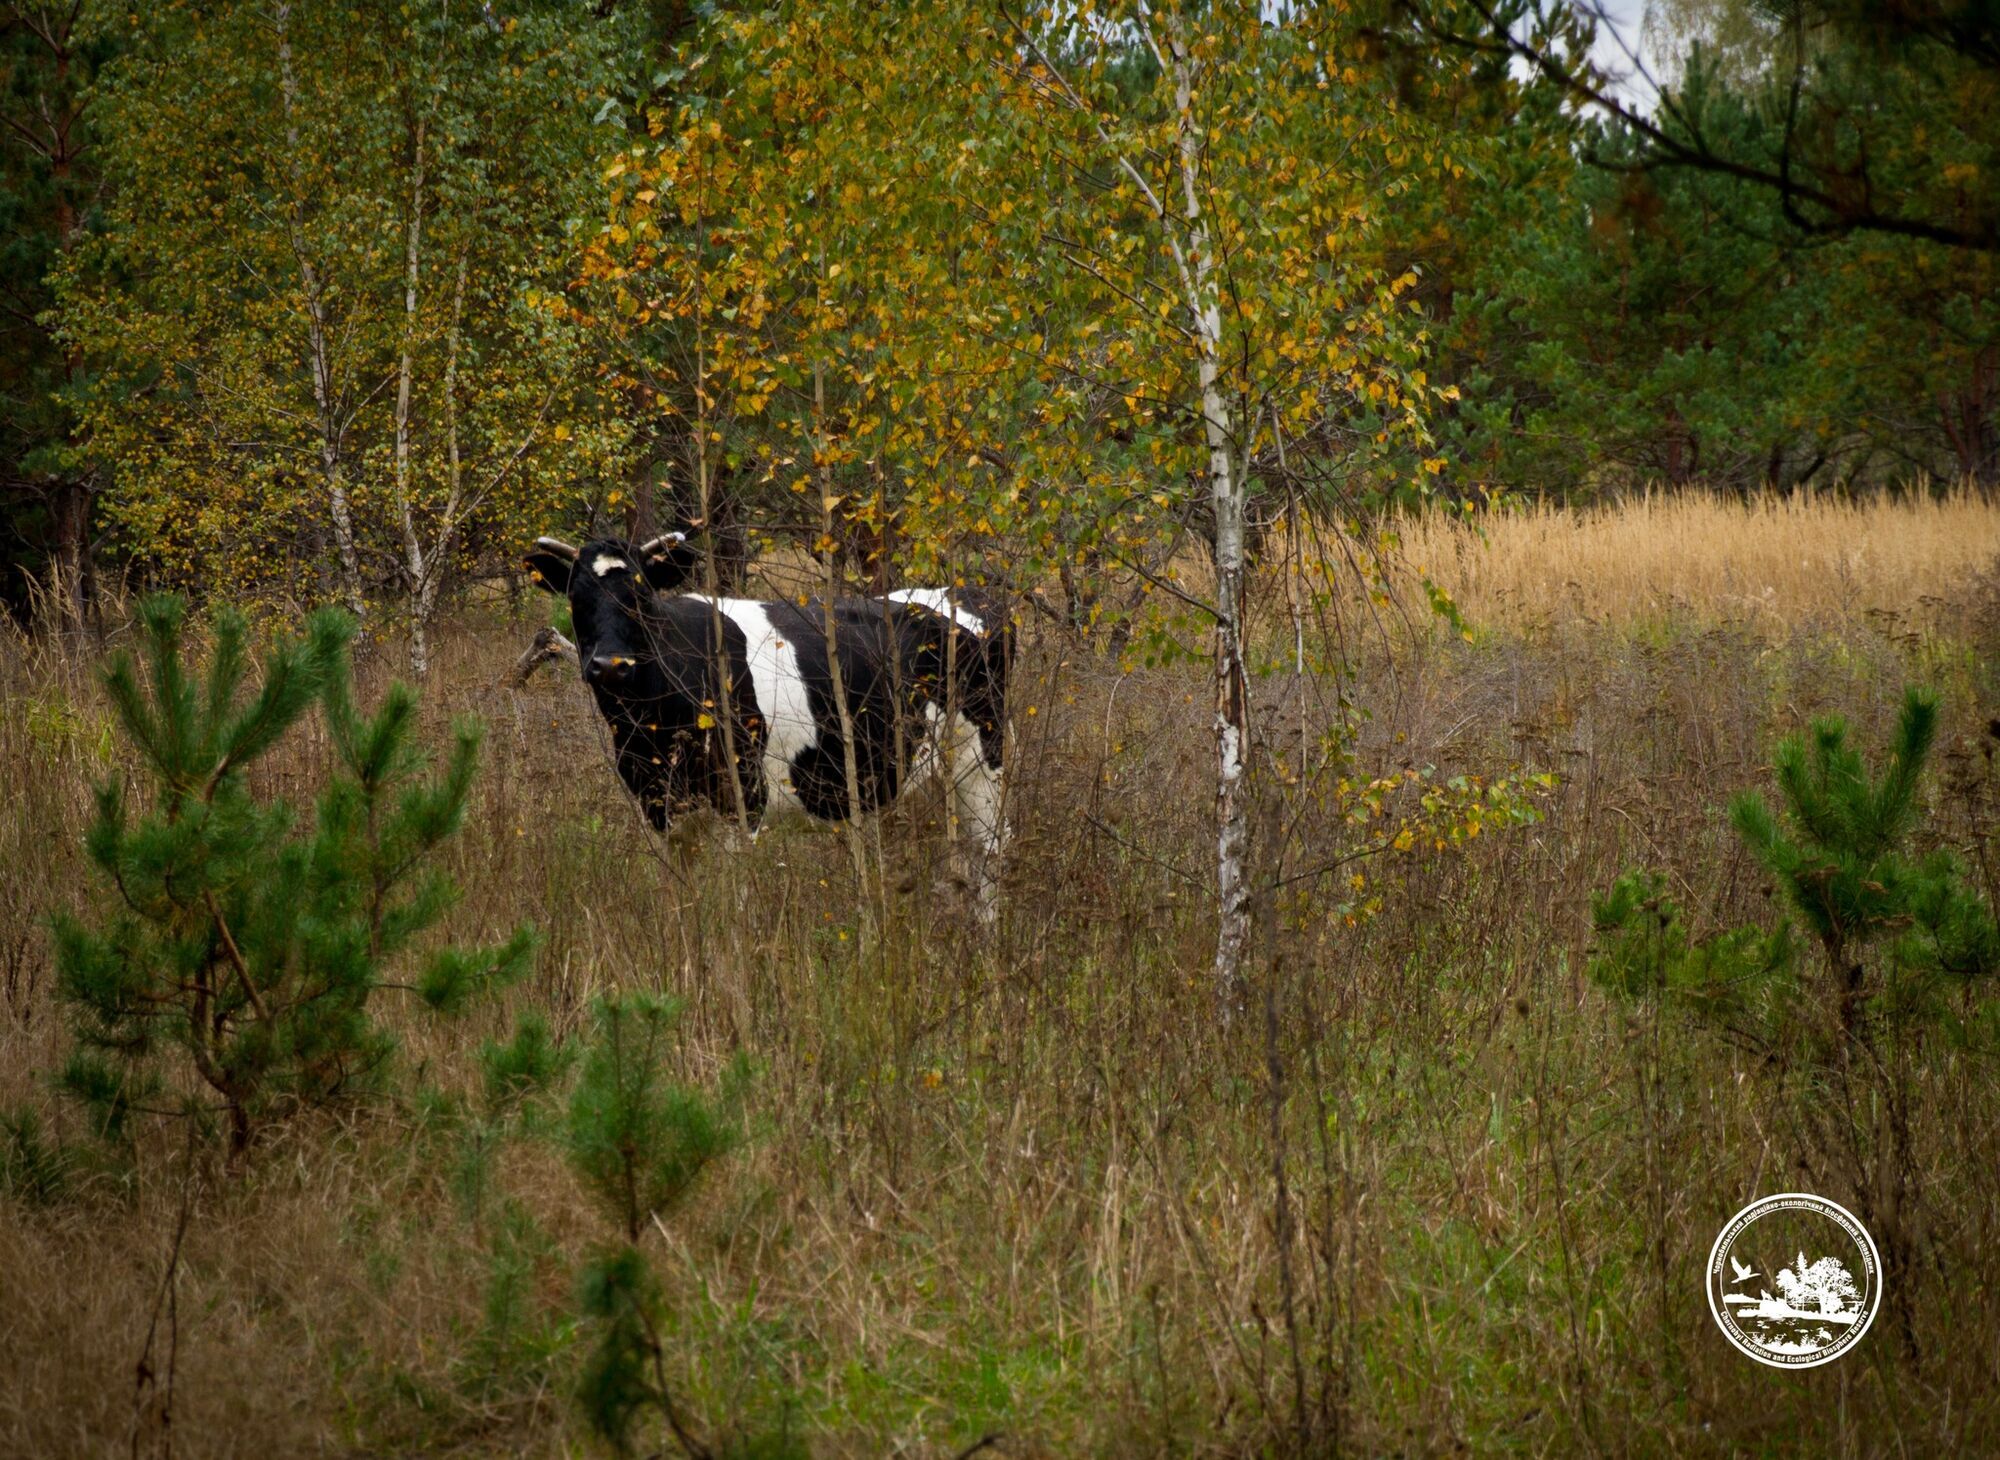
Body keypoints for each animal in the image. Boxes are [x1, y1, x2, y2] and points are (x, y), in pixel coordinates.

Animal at [524, 528, 1008, 876]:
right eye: (575, 597)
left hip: (985, 763)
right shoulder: (658, 804)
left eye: (641, 596)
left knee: (990, 855)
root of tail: (965, 593)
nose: (610, 666)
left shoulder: (742, 795)